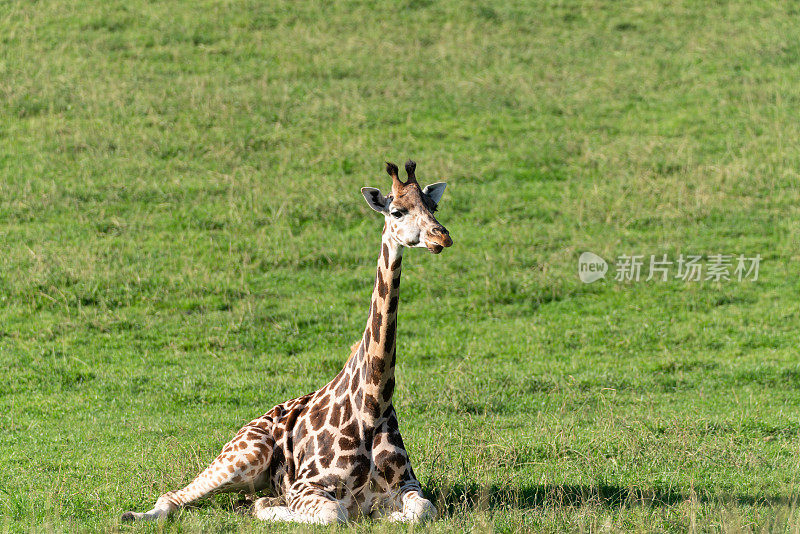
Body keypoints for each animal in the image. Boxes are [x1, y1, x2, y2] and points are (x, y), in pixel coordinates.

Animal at [122, 160, 454, 528]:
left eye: (433, 207)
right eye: (397, 211)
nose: (441, 236)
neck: (373, 404)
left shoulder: (408, 485)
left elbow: (424, 510)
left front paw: (388, 516)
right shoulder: (306, 488)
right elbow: (334, 514)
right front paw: (270, 508)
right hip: (244, 455)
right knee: (174, 497)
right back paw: (135, 514)